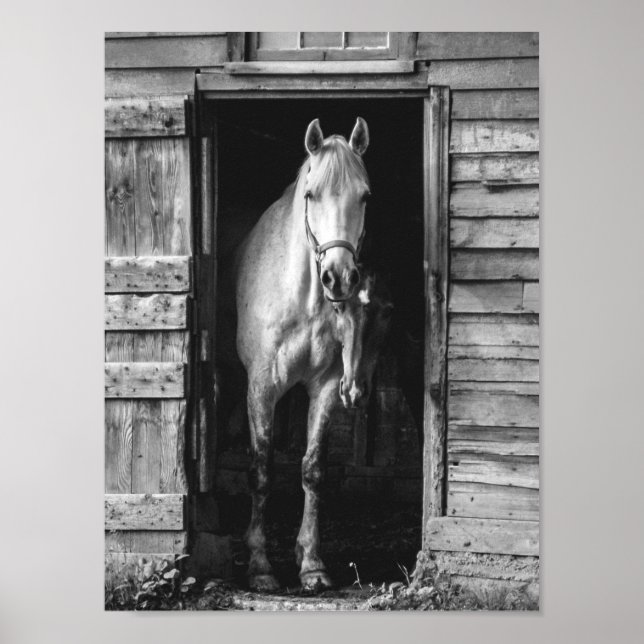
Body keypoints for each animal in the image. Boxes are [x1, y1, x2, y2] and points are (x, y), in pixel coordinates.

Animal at [234, 117, 387, 591]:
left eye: (365, 195)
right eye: (310, 195)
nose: (339, 277)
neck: (301, 297)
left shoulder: (324, 388)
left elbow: (313, 470)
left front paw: (312, 563)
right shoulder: (260, 387)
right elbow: (261, 469)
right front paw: (260, 565)